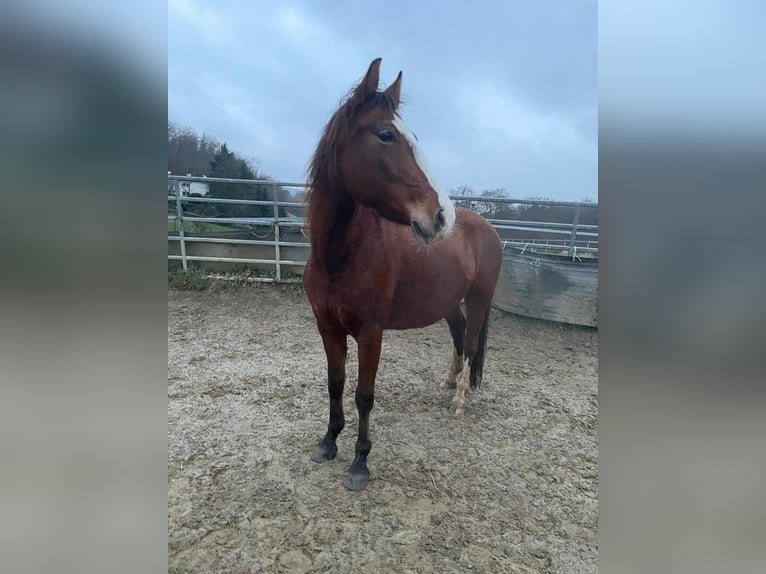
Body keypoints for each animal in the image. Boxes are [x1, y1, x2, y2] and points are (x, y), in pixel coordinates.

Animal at [303, 58, 503, 491]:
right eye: (386, 135)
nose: (441, 216)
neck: (339, 257)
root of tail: (488, 228)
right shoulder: (327, 326)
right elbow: (334, 383)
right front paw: (328, 442)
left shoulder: (371, 331)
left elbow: (364, 394)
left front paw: (360, 462)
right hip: (449, 302)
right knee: (459, 335)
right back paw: (448, 382)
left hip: (480, 299)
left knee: (472, 341)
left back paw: (460, 398)